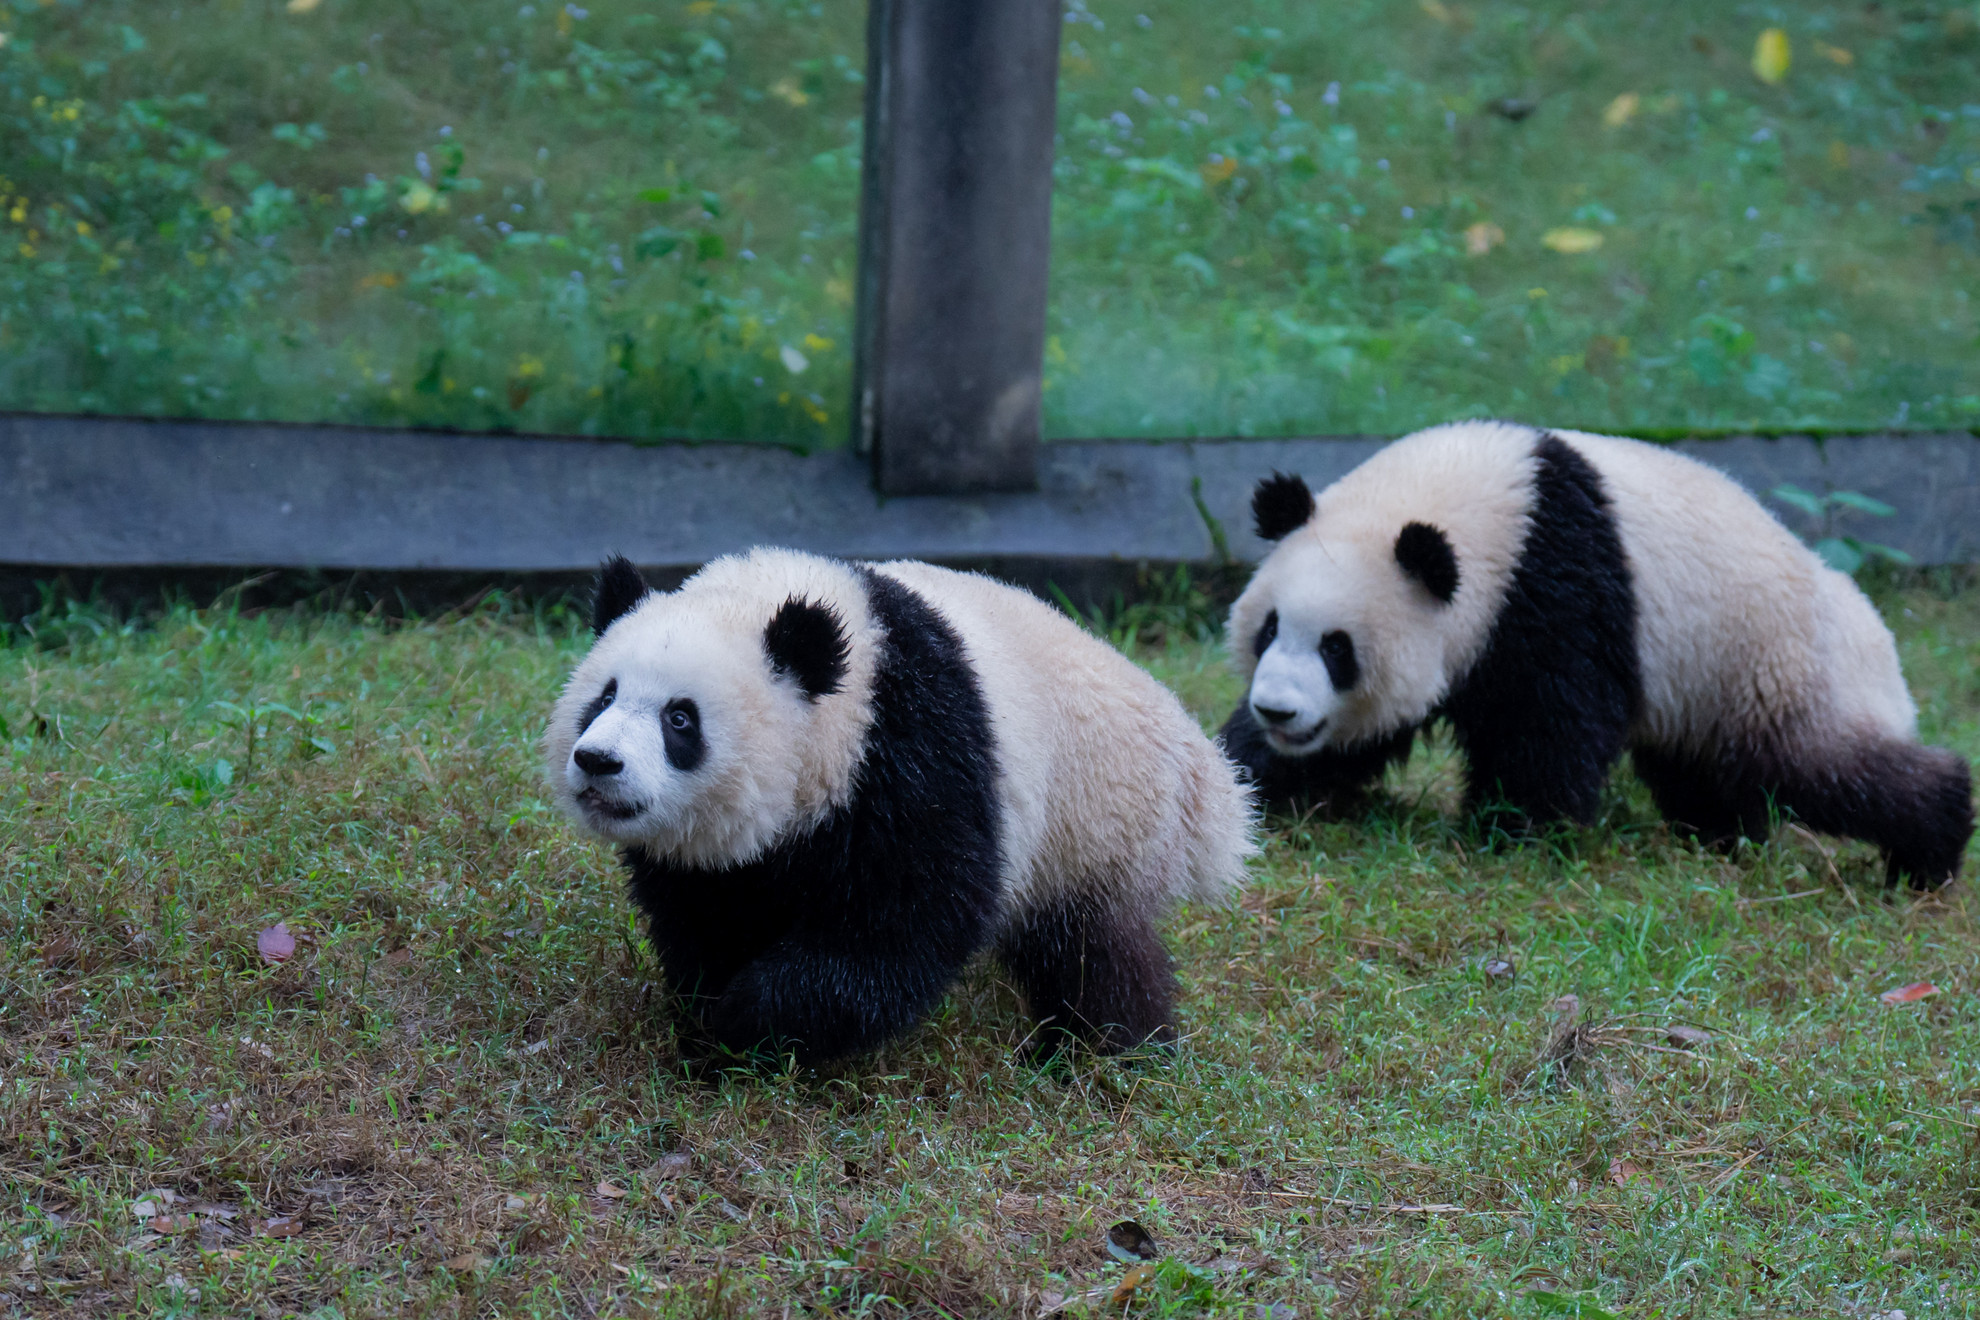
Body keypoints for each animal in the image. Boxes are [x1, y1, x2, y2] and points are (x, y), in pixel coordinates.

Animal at [542, 546, 1251, 1060]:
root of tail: (1201, 766)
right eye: (604, 696)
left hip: (1099, 819)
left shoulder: (918, 749)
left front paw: (750, 1024)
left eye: (680, 719)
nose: (599, 761)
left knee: (1094, 949)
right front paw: (704, 1012)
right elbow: (704, 911)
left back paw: (1106, 1049)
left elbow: (907, 922)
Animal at [1227, 423, 1972, 886]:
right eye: (1270, 629)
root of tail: (1879, 642)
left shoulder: (1557, 589)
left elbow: (1548, 724)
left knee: (1825, 766)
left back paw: (1927, 853)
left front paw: (1513, 833)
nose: (1279, 711)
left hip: (1769, 665)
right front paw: (1251, 776)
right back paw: (1722, 836)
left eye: (1338, 649)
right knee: (1709, 773)